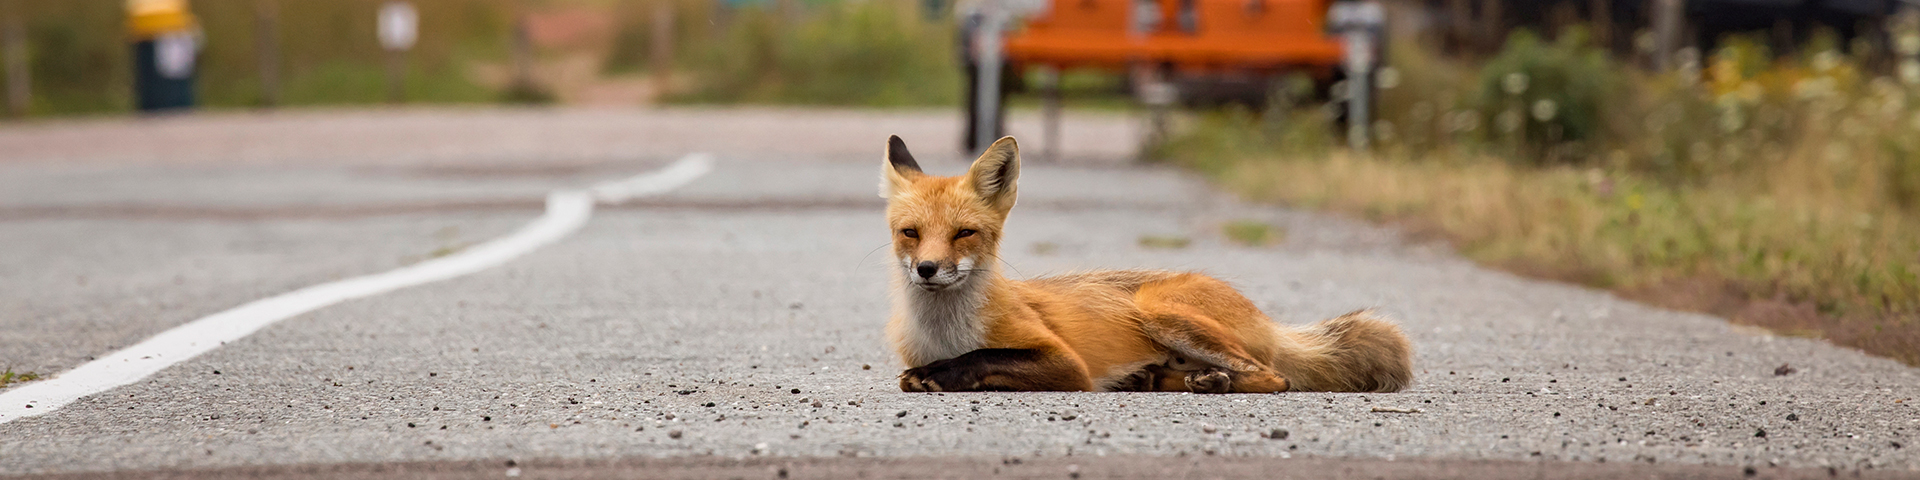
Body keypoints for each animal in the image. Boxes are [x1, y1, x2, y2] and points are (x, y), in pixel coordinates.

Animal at [879, 135, 1413, 393]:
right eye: (911, 234)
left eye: (964, 234)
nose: (927, 269)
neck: (947, 333)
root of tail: (1266, 318)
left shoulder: (1065, 364)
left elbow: (985, 357)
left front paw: (941, 374)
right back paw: (1168, 380)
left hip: (1159, 310)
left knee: (1275, 376)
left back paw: (1213, 384)